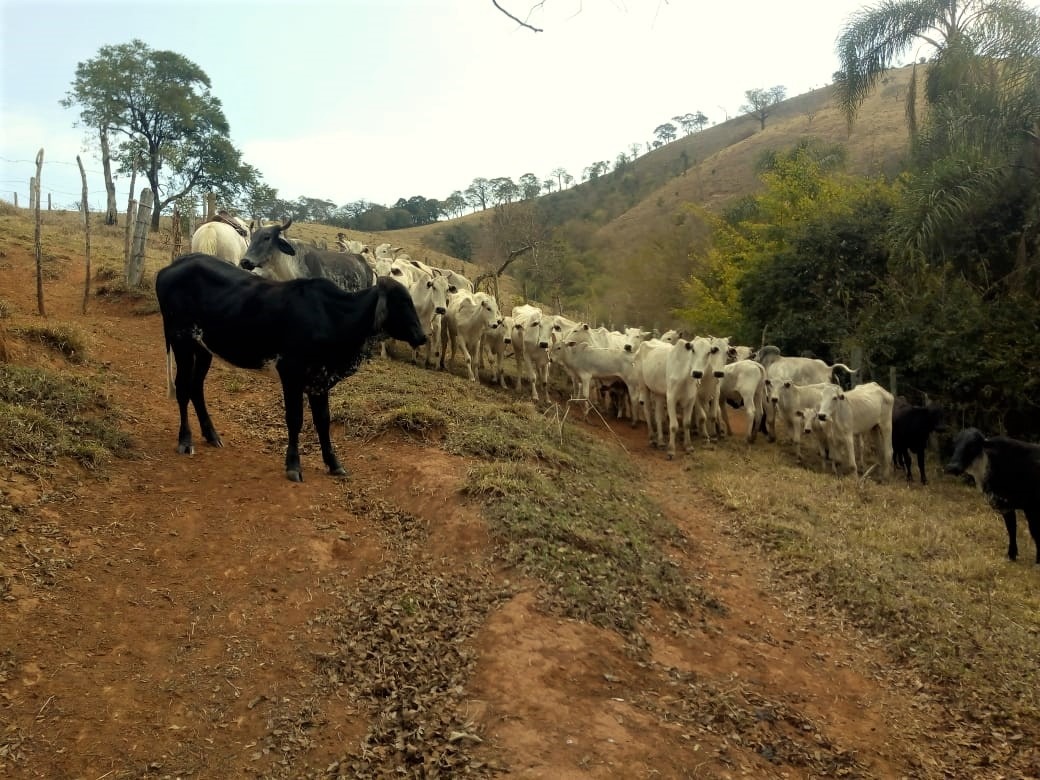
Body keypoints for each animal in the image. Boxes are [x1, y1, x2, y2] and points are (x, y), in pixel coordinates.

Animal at [152, 253, 426, 482]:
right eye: (401, 302)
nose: (422, 336)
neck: (333, 316)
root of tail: (172, 266)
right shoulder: (291, 374)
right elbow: (295, 420)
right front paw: (293, 465)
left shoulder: (319, 380)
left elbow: (323, 421)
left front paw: (334, 463)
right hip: (181, 341)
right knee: (183, 388)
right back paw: (185, 440)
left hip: (203, 348)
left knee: (196, 388)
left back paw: (211, 435)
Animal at [944, 430, 1040, 565]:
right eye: (955, 444)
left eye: (973, 445)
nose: (952, 467)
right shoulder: (1005, 504)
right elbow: (1011, 529)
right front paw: (1011, 554)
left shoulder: (1031, 507)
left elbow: (1035, 532)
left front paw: (1038, 560)